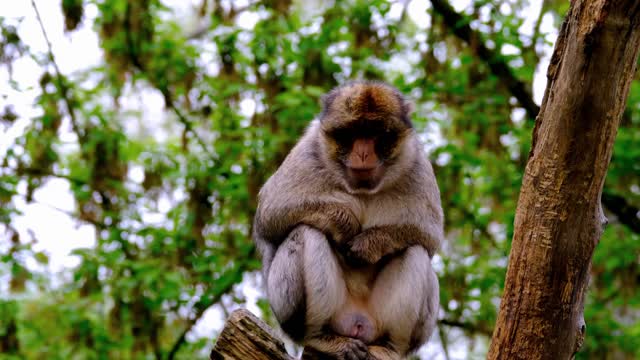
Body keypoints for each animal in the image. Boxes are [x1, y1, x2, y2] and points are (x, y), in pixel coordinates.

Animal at [252, 81, 442, 360]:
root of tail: (357, 321)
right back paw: (321, 338)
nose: (363, 154)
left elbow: (428, 236)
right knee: (305, 231)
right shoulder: (308, 151)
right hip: (291, 313)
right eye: (351, 134)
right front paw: (344, 224)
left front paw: (368, 245)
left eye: (376, 135)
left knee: (414, 250)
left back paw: (389, 348)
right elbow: (270, 213)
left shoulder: (416, 162)